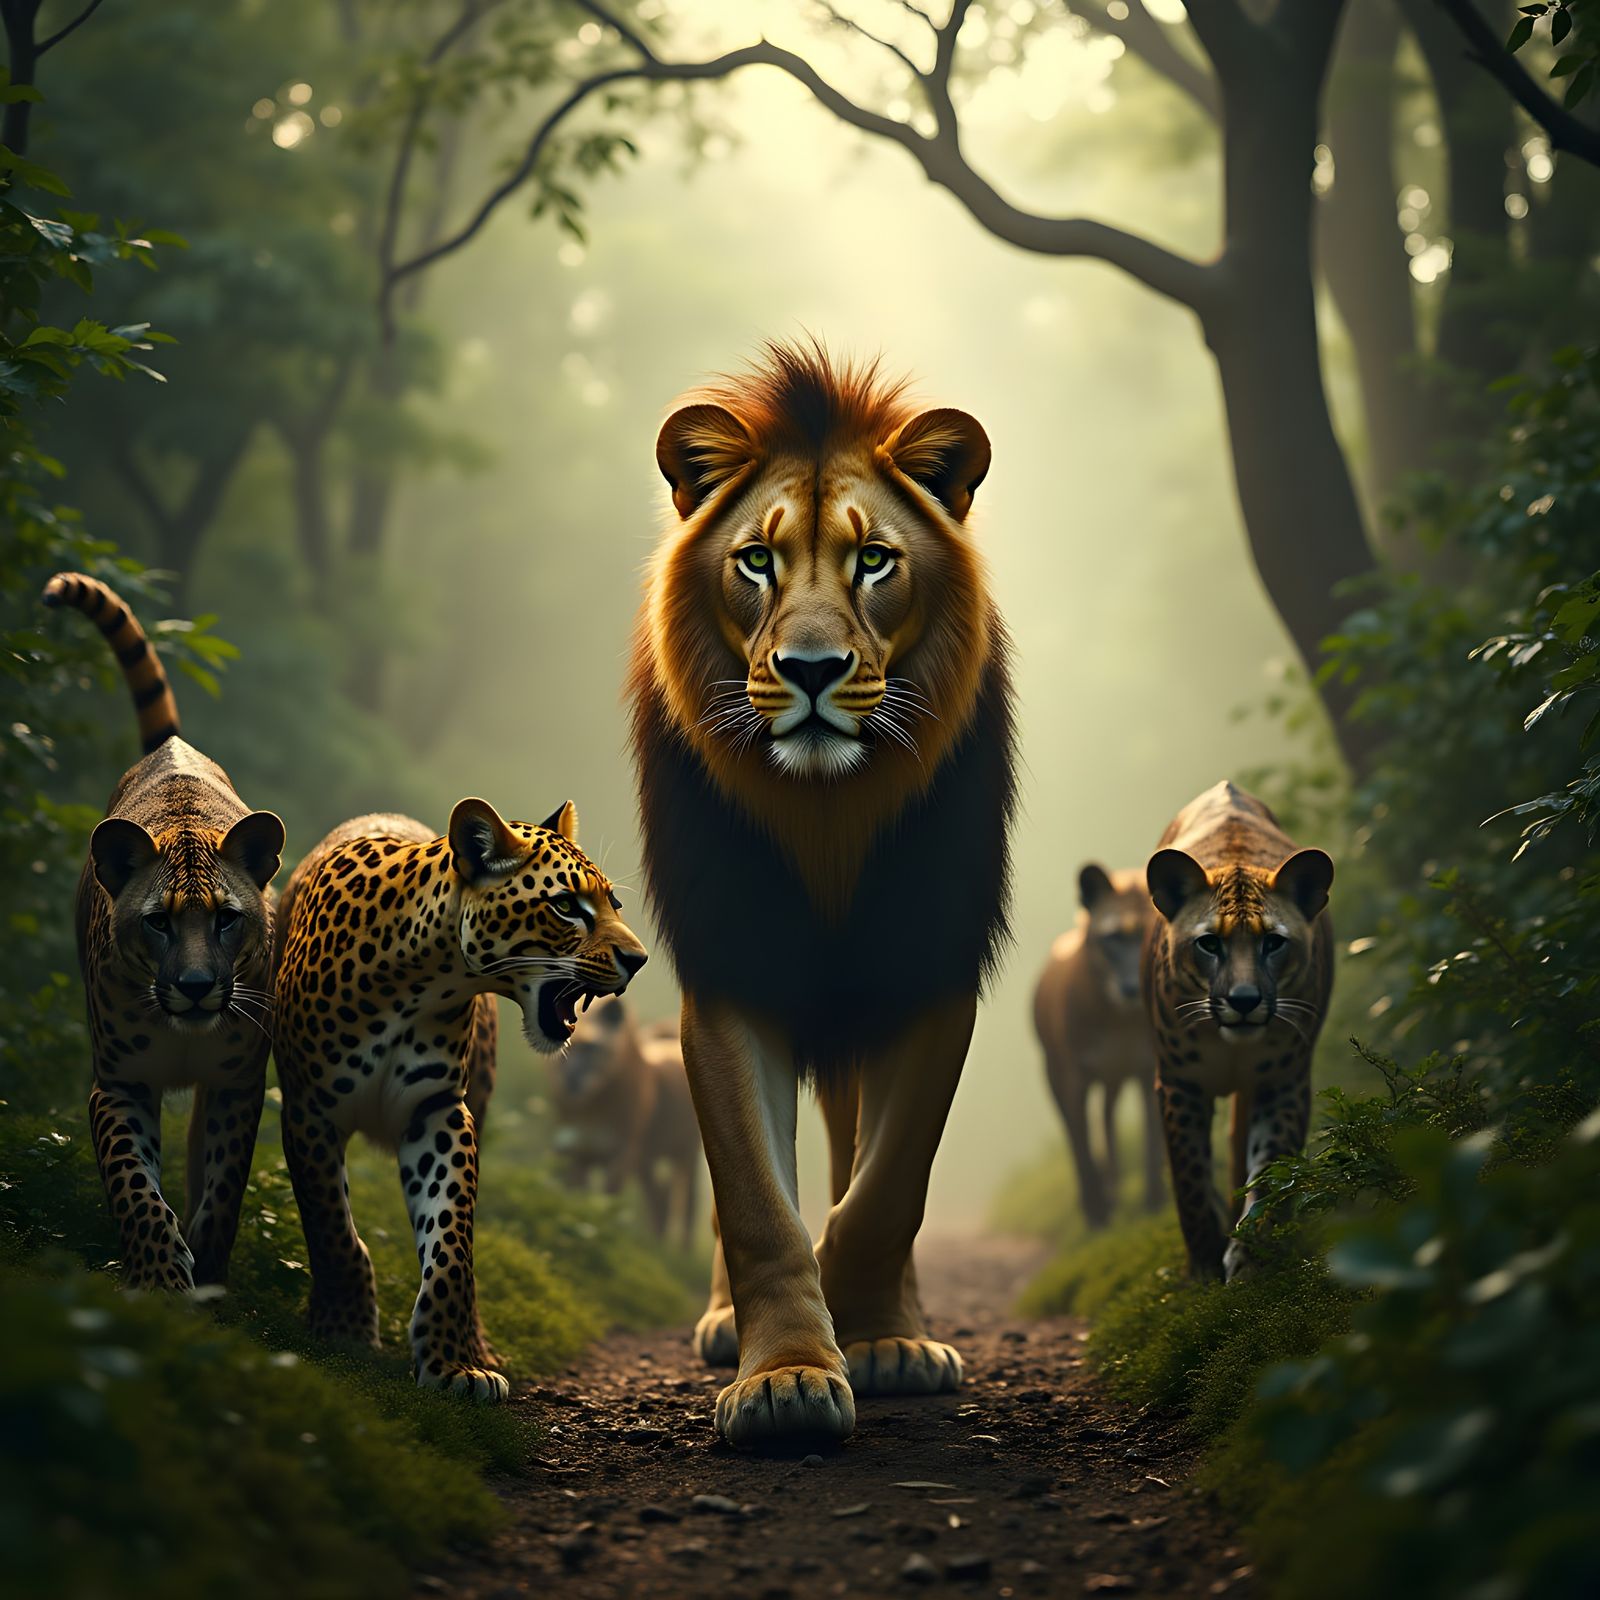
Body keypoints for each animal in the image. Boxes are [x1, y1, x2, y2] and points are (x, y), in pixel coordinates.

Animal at [627, 339, 1016, 1446]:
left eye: (873, 560)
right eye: (756, 561)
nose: (809, 669)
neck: (827, 814)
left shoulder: (928, 971)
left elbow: (883, 1194)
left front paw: (879, 1336)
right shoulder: (729, 972)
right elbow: (760, 1205)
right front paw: (788, 1376)